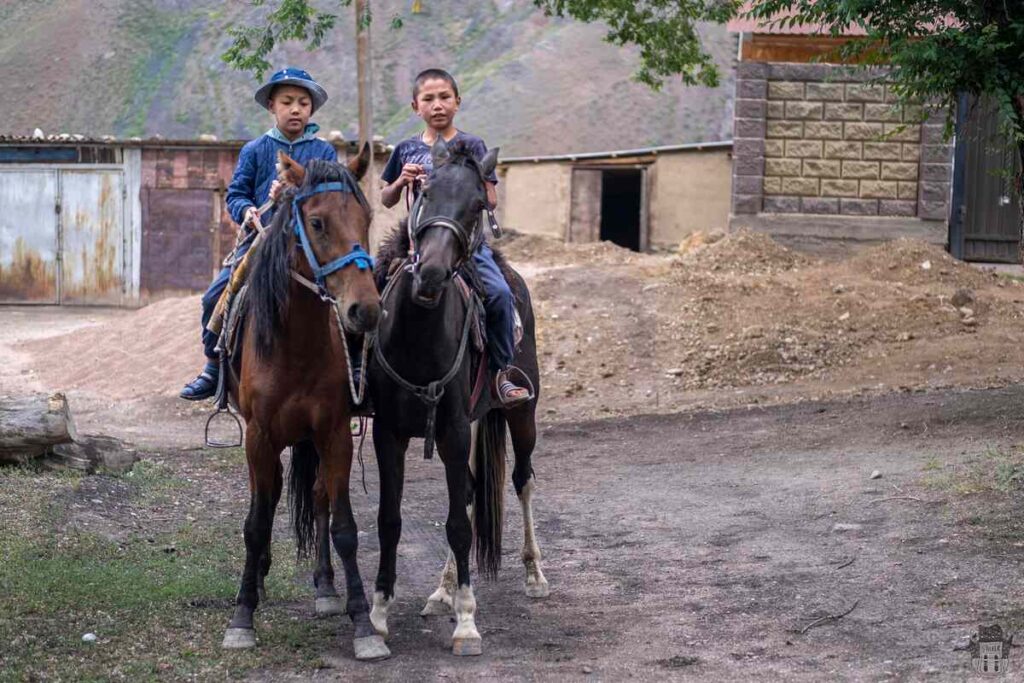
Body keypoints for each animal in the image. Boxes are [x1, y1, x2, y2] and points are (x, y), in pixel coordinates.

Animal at [220, 148, 391, 663]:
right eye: (316, 222)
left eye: (366, 217)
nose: (365, 310)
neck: (295, 344)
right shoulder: (259, 438)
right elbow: (256, 523)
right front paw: (242, 616)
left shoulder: (333, 434)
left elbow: (344, 525)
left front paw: (362, 624)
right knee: (269, 496)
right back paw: (258, 579)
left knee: (315, 498)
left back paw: (325, 588)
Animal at [364, 137, 548, 655]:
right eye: (423, 192)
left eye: (477, 206)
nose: (430, 274)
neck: (418, 338)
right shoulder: (389, 434)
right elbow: (390, 520)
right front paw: (379, 613)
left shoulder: (451, 431)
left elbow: (458, 526)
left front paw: (467, 622)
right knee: (467, 492)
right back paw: (442, 590)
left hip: (521, 414)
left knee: (522, 480)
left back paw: (534, 574)